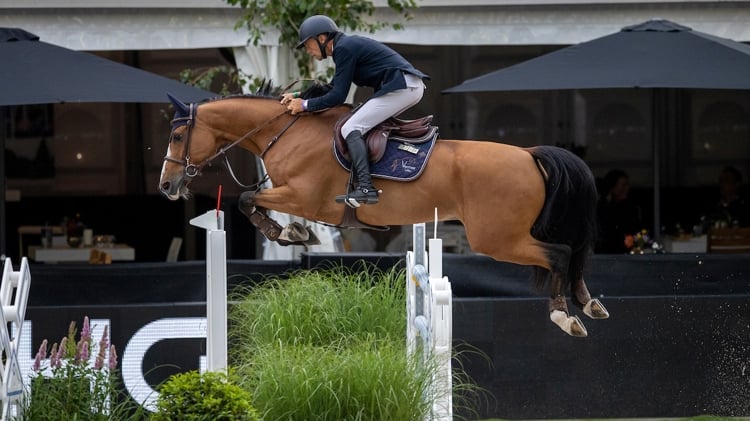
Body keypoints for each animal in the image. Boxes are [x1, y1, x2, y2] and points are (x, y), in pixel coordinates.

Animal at [159, 86, 612, 338]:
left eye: (178, 136)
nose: (167, 186)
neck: (285, 133)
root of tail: (529, 153)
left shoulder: (302, 197)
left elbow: (247, 200)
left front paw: (287, 233)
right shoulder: (296, 198)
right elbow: (251, 202)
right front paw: (295, 234)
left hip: (497, 238)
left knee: (560, 253)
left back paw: (564, 316)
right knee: (571, 253)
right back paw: (588, 304)